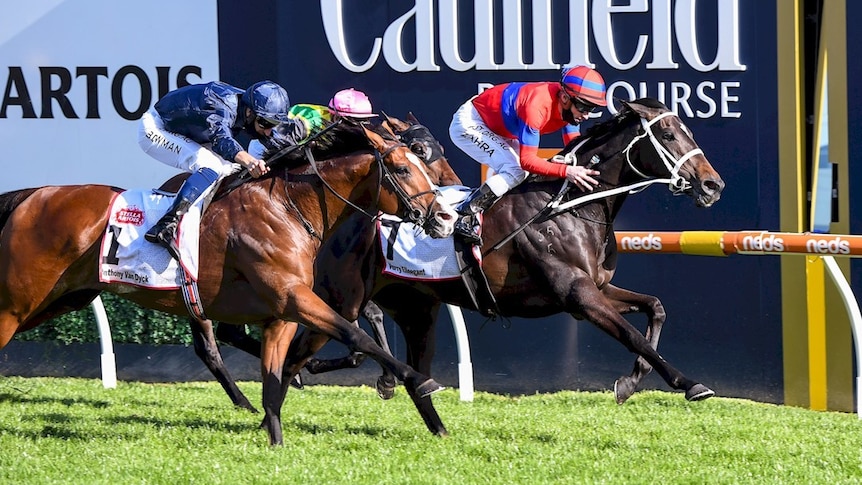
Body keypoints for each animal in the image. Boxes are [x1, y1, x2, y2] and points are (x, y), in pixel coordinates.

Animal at [0, 121, 460, 442]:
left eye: (422, 160)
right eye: (403, 168)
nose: (444, 217)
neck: (287, 207)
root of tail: (31, 196)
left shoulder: (284, 310)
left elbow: (276, 375)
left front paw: (274, 436)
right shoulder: (296, 298)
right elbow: (355, 334)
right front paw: (417, 379)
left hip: (64, 299)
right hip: (18, 303)